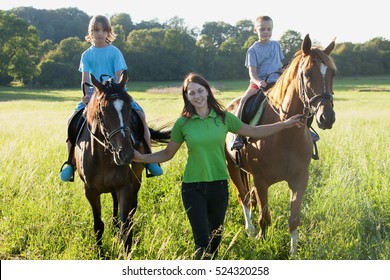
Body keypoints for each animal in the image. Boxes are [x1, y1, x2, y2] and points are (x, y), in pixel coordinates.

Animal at [74, 71, 169, 255]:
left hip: (136, 181)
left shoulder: (125, 187)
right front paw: (100, 254)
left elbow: (126, 224)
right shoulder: (90, 192)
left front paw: (127, 251)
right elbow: (98, 225)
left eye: (129, 108)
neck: (103, 155)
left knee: (131, 210)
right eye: (103, 110)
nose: (126, 154)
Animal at [227, 34, 336, 255]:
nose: (326, 117)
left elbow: (294, 219)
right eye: (307, 73)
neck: (285, 134)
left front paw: (294, 253)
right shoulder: (261, 181)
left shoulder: (300, 180)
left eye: (333, 74)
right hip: (232, 167)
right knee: (243, 197)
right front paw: (261, 241)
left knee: (249, 196)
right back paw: (249, 230)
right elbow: (265, 218)